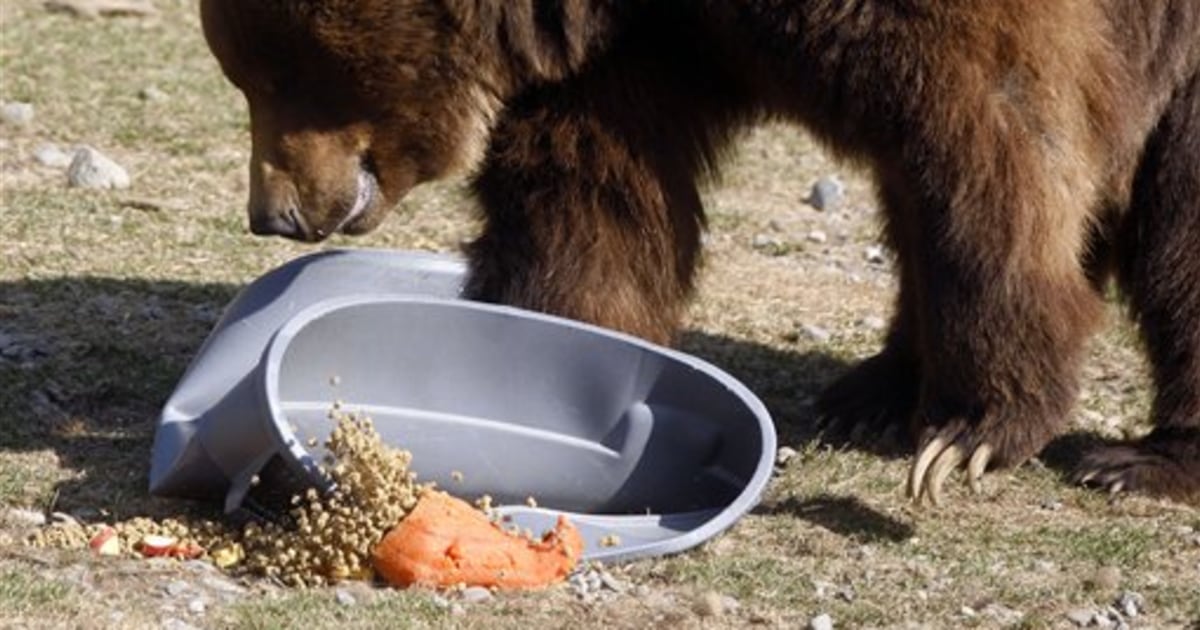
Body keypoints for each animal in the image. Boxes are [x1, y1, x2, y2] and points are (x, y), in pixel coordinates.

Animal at [199, 0, 1200, 504]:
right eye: (245, 72)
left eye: (275, 74)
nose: (273, 214)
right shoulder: (641, 36)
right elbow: (590, 185)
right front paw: (546, 344)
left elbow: (992, 125)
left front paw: (974, 432)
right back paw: (872, 395)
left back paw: (1141, 461)